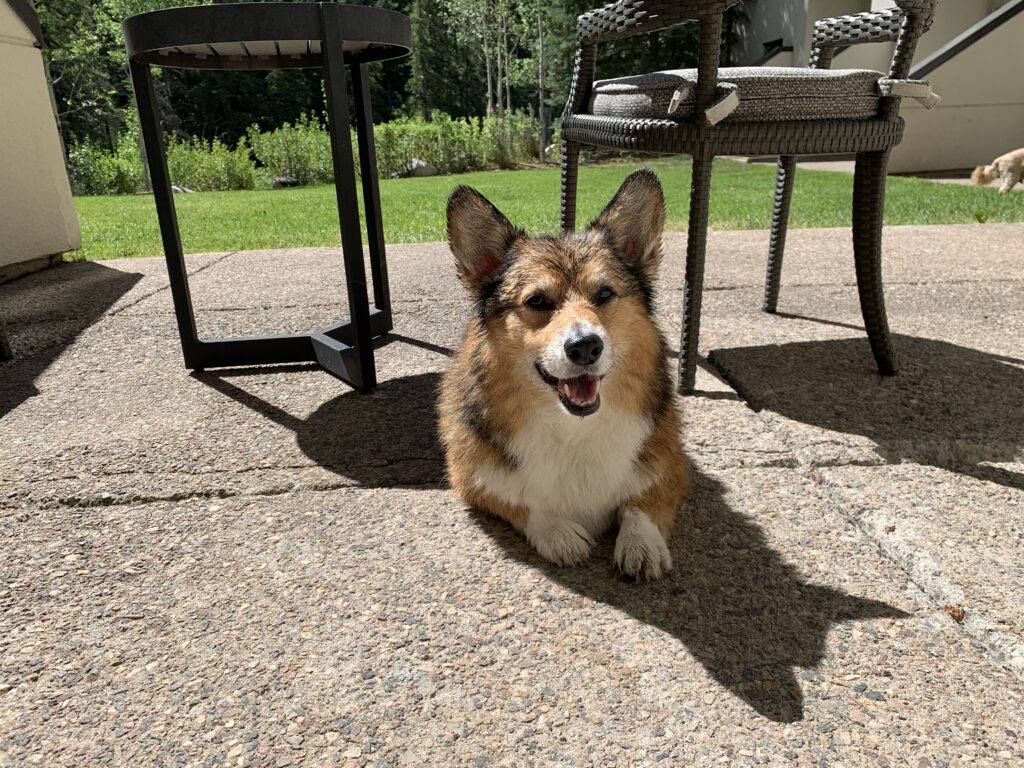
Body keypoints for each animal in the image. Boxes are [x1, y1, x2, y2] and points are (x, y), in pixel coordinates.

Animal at [436, 167, 692, 577]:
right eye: (537, 301)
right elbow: (522, 501)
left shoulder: (672, 467)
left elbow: (640, 504)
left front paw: (641, 543)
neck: (574, 430)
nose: (585, 346)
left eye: (605, 294)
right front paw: (557, 532)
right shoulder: (470, 479)